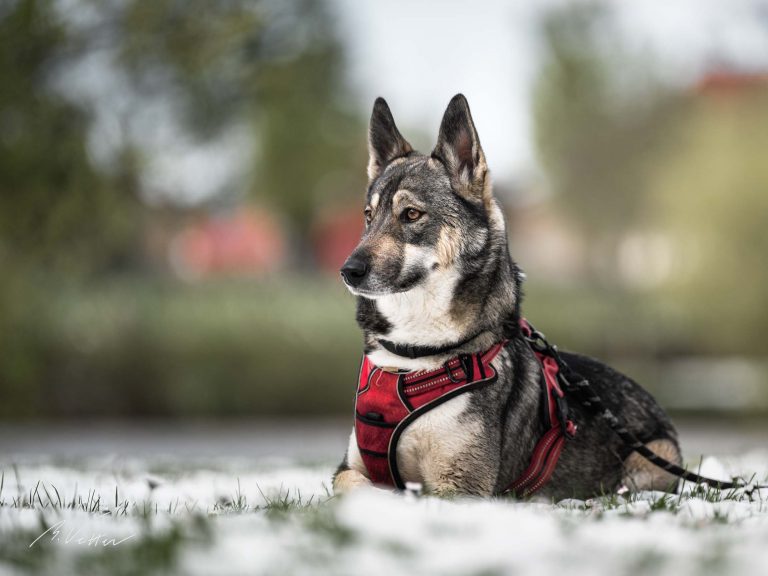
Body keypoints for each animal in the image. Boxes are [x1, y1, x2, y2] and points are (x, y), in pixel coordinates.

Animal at [332, 94, 680, 500]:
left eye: (412, 214)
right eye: (368, 216)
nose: (349, 270)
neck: (413, 357)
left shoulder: (462, 487)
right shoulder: (349, 469)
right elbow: (359, 487)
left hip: (651, 461)